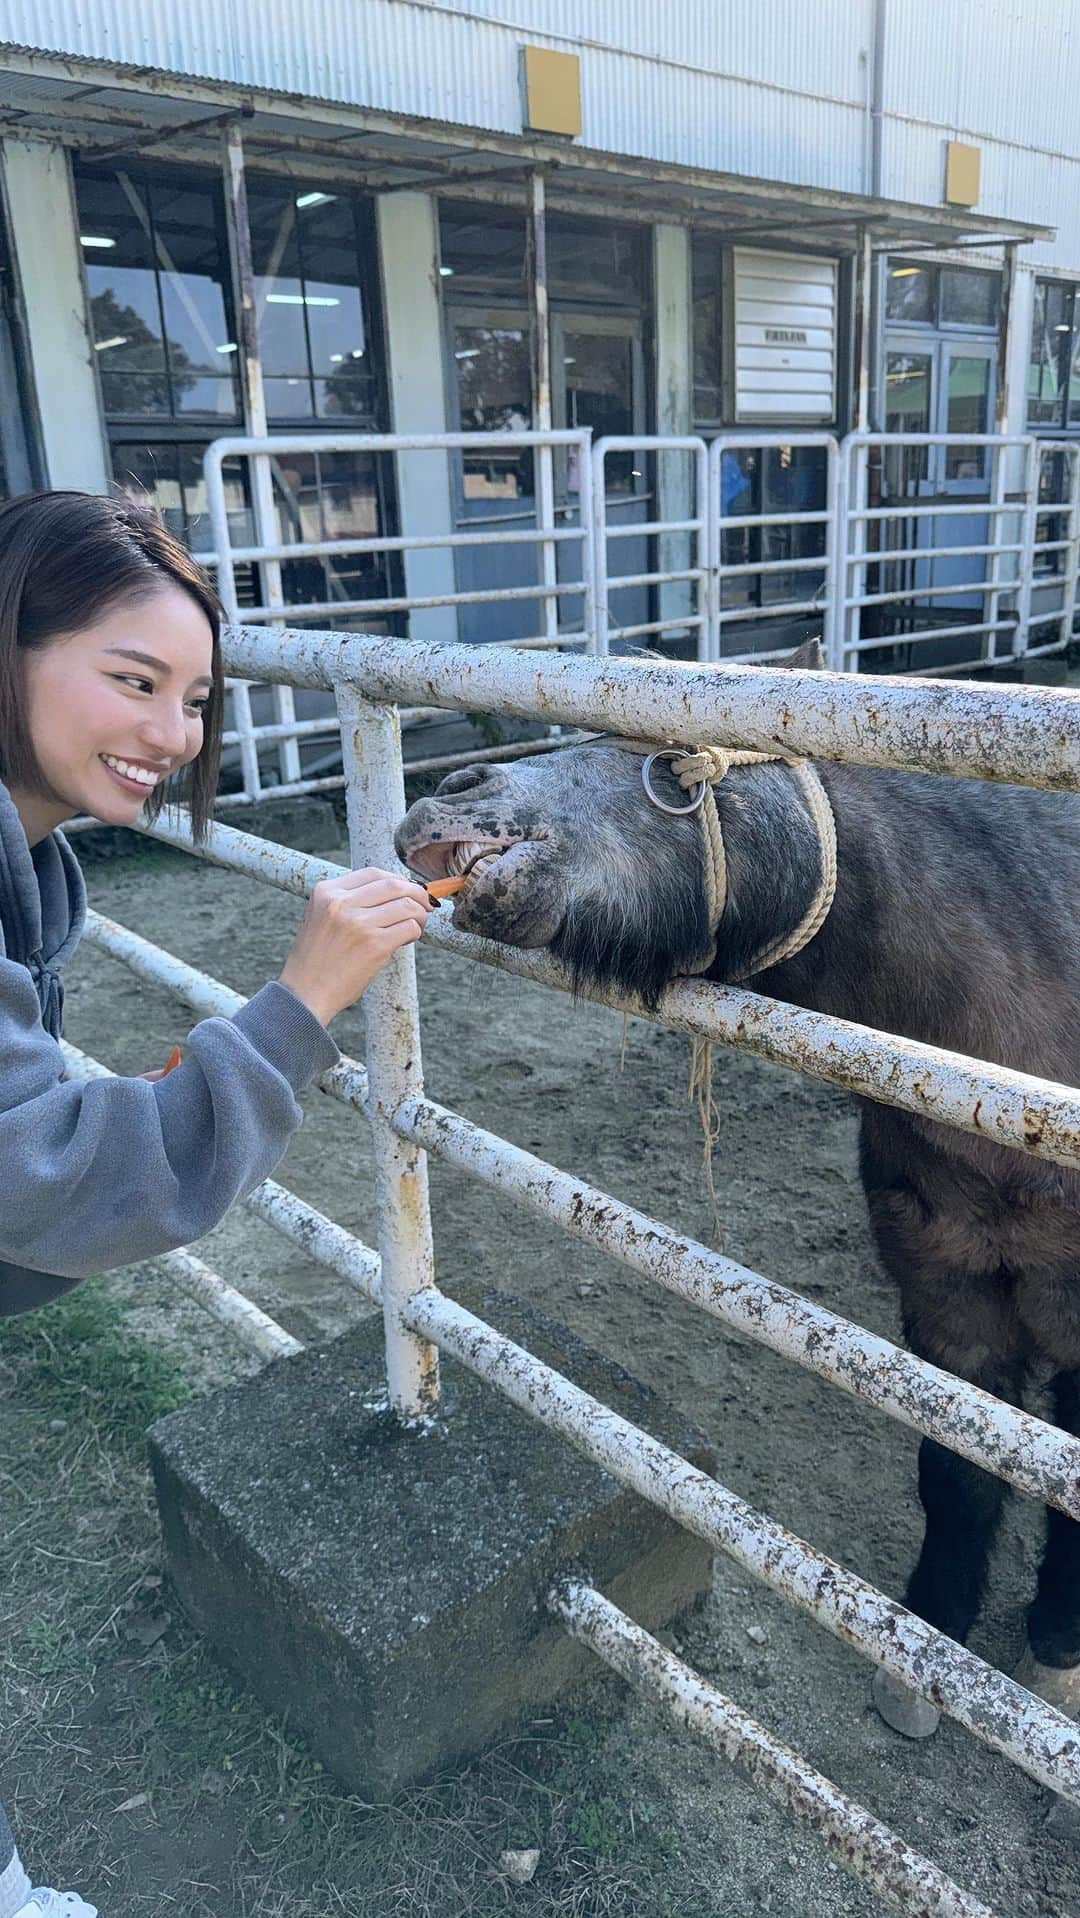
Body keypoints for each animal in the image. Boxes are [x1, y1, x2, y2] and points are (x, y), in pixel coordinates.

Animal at [397, 648, 1080, 1741]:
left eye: (661, 746)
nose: (446, 795)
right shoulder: (950, 1306)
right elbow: (959, 1481)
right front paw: (928, 1653)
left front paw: (1057, 1641)